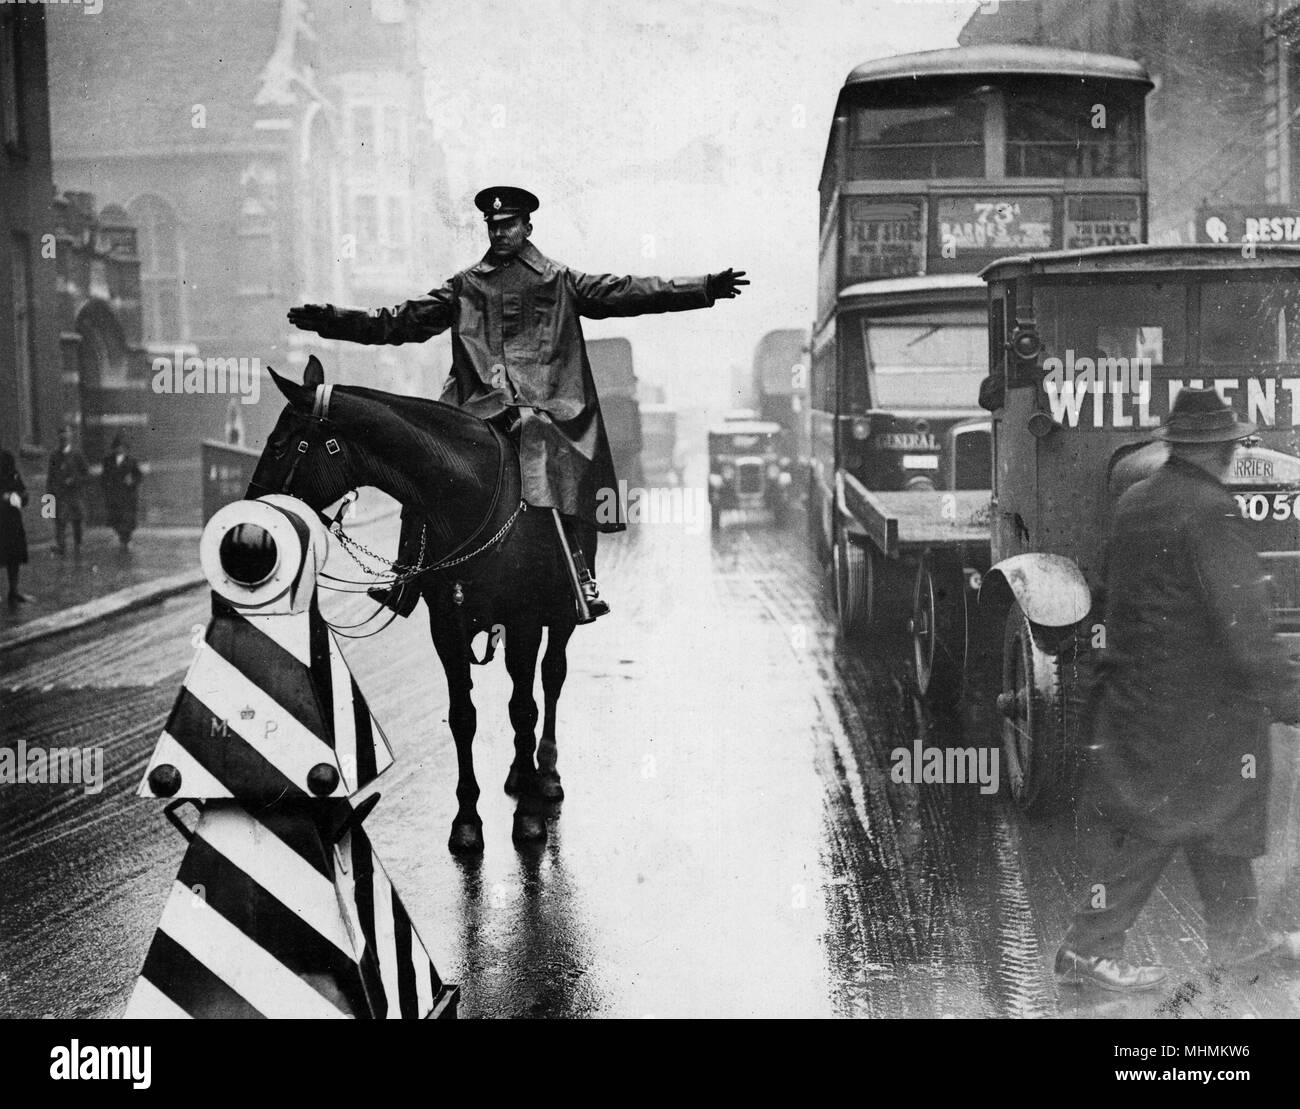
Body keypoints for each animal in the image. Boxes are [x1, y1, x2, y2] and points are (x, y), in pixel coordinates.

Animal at [248, 358, 579, 852]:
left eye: (280, 444)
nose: (252, 523)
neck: (468, 494)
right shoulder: (447, 628)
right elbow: (464, 717)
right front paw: (467, 821)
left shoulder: (525, 622)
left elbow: (525, 708)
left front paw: (528, 819)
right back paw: (522, 773)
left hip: (559, 617)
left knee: (551, 678)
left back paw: (547, 772)